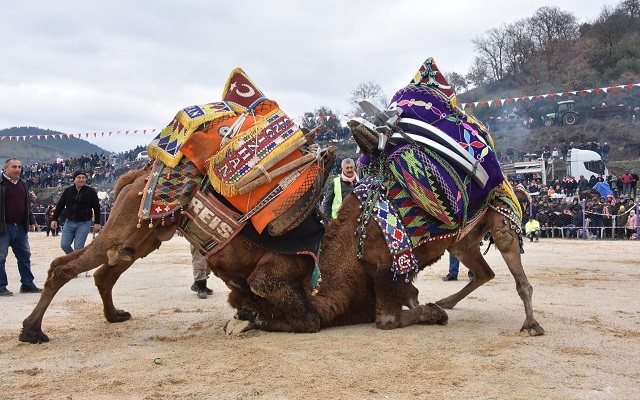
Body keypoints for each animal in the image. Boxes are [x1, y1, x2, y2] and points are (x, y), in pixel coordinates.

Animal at [18, 162, 544, 344]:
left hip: (141, 233)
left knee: (102, 269)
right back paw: (33, 330)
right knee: (68, 265)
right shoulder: (288, 277)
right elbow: (310, 317)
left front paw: (245, 318)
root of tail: (133, 175)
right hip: (133, 225)